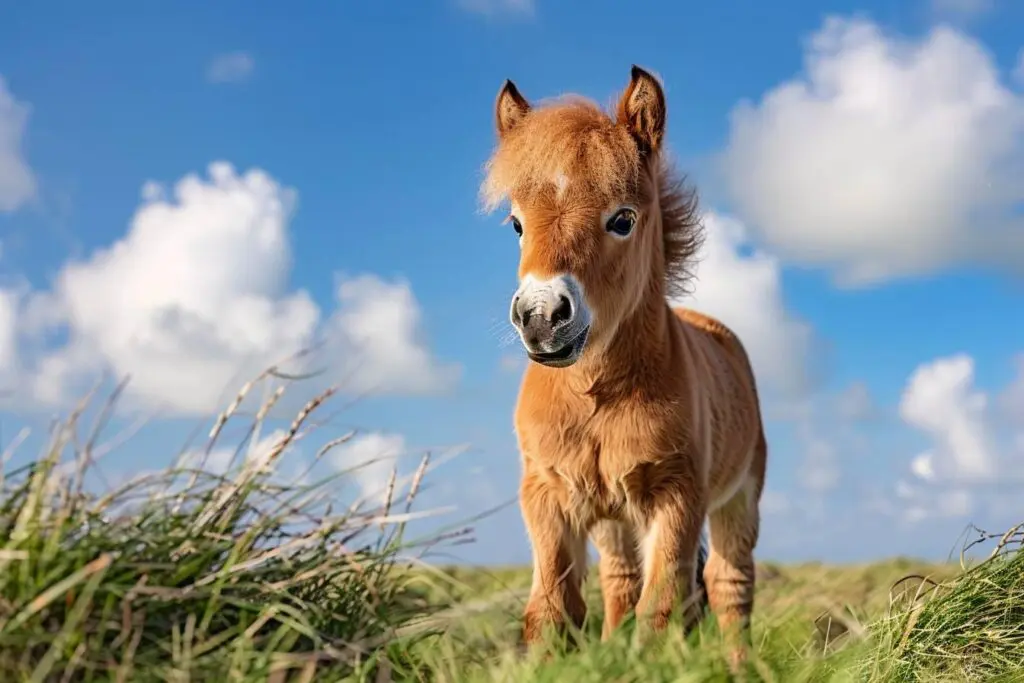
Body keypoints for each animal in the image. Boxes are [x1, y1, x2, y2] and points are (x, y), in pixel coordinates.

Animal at [481, 65, 770, 667]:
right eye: (516, 224)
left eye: (623, 219)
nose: (541, 317)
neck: (595, 395)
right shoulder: (547, 495)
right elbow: (552, 610)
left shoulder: (677, 497)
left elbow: (659, 608)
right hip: (611, 517)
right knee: (620, 580)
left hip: (738, 498)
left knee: (728, 583)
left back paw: (741, 668)